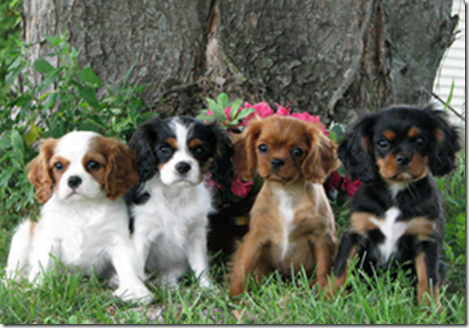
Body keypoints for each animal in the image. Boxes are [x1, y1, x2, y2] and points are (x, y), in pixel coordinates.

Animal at [5, 131, 152, 304]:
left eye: (93, 165)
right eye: (58, 166)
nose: (73, 179)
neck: (81, 207)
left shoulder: (118, 239)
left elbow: (128, 265)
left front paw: (136, 290)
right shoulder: (49, 238)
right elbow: (42, 262)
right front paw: (36, 287)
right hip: (22, 234)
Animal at [125, 116, 233, 288]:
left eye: (199, 150)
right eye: (164, 150)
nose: (183, 166)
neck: (175, 193)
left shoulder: (196, 233)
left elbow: (200, 264)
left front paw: (207, 288)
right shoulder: (141, 234)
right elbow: (137, 268)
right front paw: (136, 291)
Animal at [229, 115, 336, 298]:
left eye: (297, 152)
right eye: (263, 148)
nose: (276, 162)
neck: (286, 191)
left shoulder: (322, 236)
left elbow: (323, 269)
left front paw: (325, 294)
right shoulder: (255, 237)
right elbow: (242, 268)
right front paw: (235, 296)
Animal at [330, 104, 460, 308]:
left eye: (421, 140)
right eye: (382, 143)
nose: (404, 158)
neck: (396, 193)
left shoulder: (426, 239)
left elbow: (428, 278)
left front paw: (430, 309)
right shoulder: (355, 233)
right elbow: (341, 269)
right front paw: (327, 298)